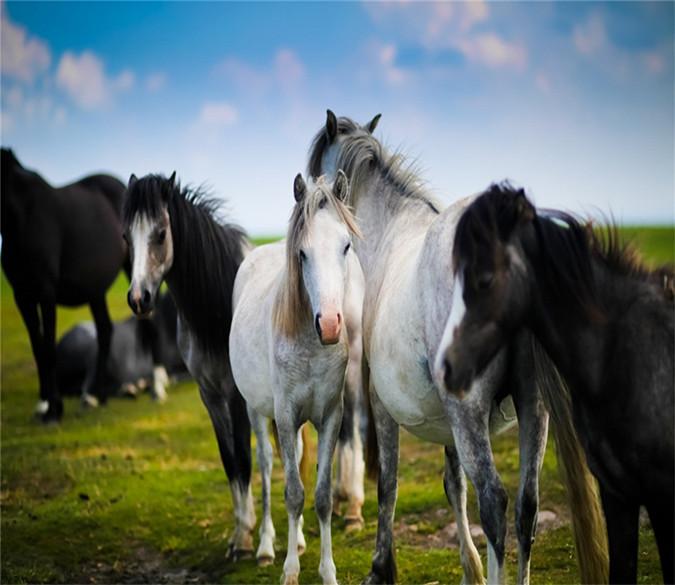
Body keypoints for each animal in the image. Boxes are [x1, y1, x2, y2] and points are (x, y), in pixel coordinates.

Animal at [1, 147, 127, 422]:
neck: (23, 217)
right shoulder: (22, 295)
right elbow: (37, 348)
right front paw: (43, 403)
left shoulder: (46, 292)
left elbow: (48, 348)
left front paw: (54, 410)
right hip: (95, 291)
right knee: (104, 330)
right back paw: (96, 396)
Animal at [122, 172, 257, 559]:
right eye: (126, 237)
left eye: (160, 234)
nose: (138, 299)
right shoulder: (209, 396)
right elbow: (230, 460)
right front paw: (240, 533)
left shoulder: (236, 396)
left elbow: (244, 457)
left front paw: (246, 541)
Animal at [229, 171, 364, 585]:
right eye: (302, 253)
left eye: (346, 246)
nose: (331, 324)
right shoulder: (286, 417)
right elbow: (292, 492)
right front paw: (289, 570)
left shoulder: (330, 417)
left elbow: (319, 496)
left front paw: (327, 571)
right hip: (257, 413)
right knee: (266, 467)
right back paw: (264, 547)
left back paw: (300, 541)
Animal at [307, 111, 608, 584]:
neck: (391, 232)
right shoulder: (447, 419)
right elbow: (454, 485)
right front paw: (470, 569)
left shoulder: (384, 404)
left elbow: (388, 485)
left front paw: (381, 567)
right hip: (532, 407)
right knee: (527, 506)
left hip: (471, 413)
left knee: (495, 502)